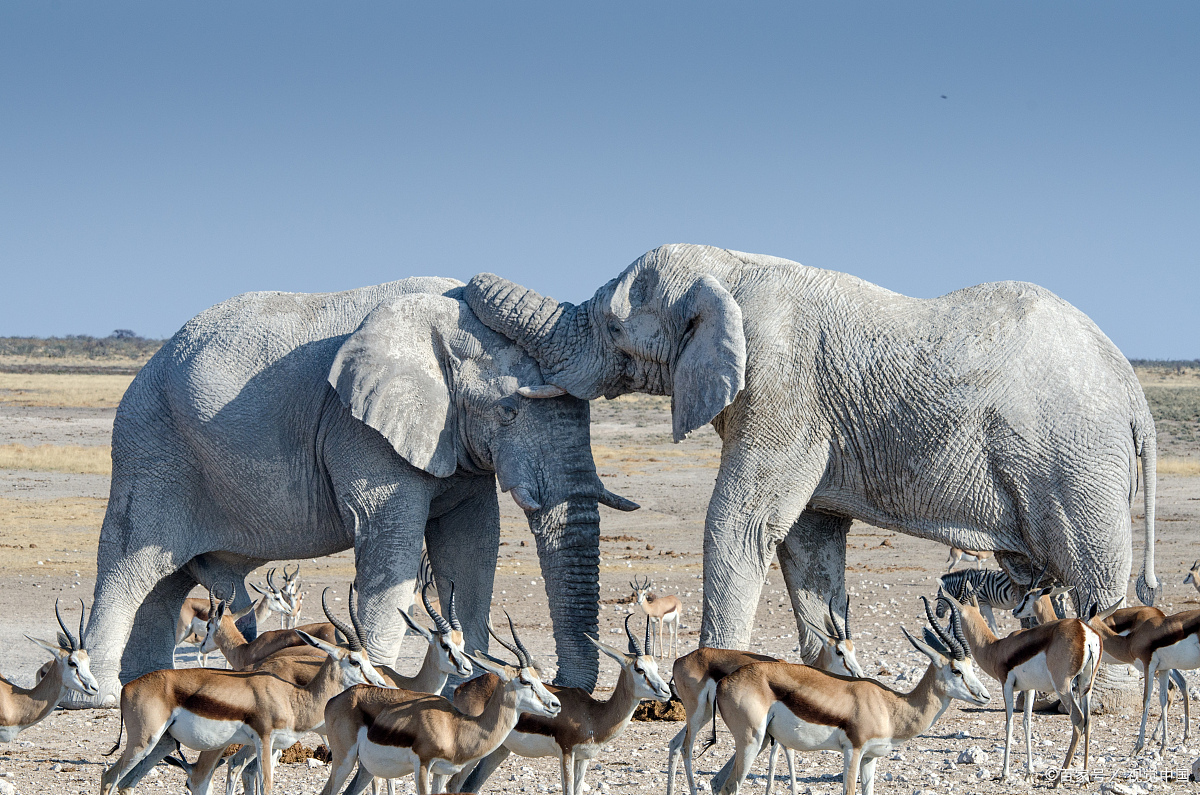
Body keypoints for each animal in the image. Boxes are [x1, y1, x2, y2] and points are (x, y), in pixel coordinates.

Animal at [80, 276, 636, 706]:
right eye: (508, 411)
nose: (563, 688)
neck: (446, 321)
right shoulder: (359, 430)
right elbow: (391, 543)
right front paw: (380, 684)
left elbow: (473, 547)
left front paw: (476, 681)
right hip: (150, 449)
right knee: (130, 564)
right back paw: (98, 695)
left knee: (165, 581)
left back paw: (142, 681)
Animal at [464, 243, 1158, 663]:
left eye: (613, 327)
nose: (458, 289)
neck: (731, 269)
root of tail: (1135, 395)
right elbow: (809, 541)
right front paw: (831, 683)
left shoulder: (781, 388)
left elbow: (741, 523)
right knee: (1043, 578)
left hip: (1075, 461)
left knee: (1091, 580)